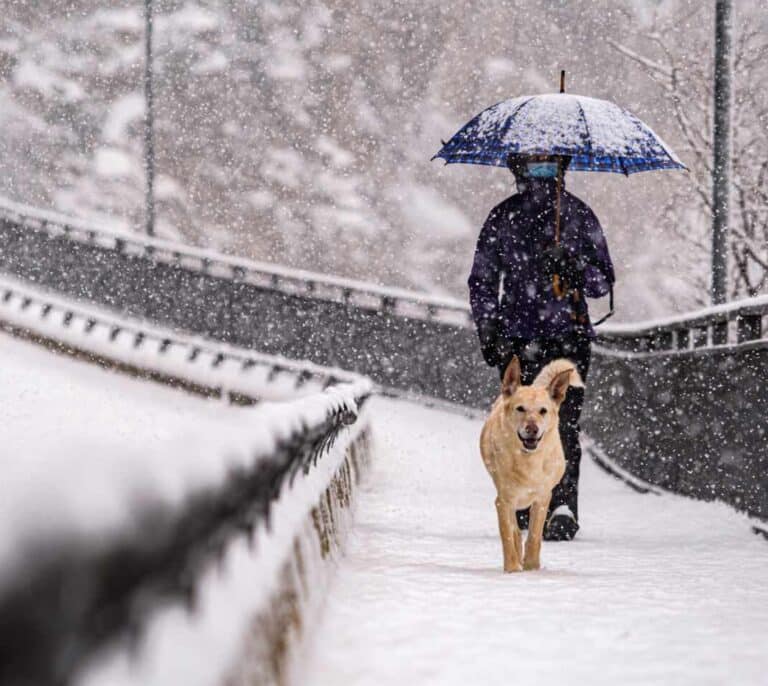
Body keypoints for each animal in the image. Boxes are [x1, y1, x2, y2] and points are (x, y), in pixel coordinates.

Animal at [480, 358, 584, 572]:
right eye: (520, 408)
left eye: (543, 411)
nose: (532, 429)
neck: (528, 460)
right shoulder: (504, 501)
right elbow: (508, 536)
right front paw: (512, 569)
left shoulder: (543, 498)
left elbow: (535, 537)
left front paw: (532, 568)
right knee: (515, 530)